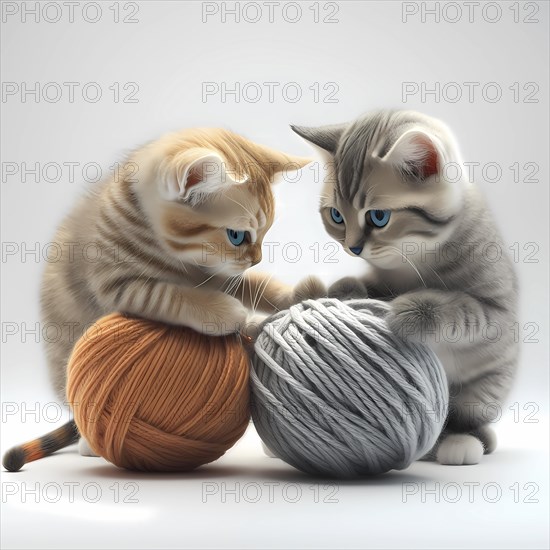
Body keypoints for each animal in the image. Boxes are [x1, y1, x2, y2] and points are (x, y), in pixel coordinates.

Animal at [3, 127, 328, 472]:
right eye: (237, 236)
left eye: (265, 233)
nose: (256, 259)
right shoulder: (116, 282)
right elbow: (167, 294)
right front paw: (227, 312)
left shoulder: (221, 273)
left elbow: (255, 284)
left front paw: (294, 293)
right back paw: (88, 443)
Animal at [294, 111, 520, 466]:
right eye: (336, 216)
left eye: (378, 217)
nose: (352, 248)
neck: (417, 256)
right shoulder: (380, 276)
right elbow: (368, 286)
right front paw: (344, 289)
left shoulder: (499, 312)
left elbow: (466, 309)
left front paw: (413, 312)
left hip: (487, 387)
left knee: (468, 416)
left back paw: (460, 441)